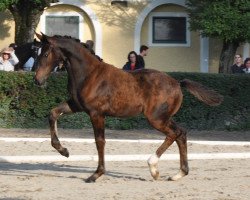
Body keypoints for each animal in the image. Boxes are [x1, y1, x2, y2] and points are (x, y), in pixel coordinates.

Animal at [33, 32, 223, 183]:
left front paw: (96, 174)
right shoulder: (75, 105)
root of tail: (177, 83)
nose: (37, 80)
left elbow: (100, 141)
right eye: (38, 53)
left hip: (156, 118)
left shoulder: (96, 113)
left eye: (46, 53)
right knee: (181, 133)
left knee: (174, 134)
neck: (89, 74)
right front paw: (63, 151)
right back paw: (178, 174)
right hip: (164, 117)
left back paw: (153, 167)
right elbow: (53, 113)